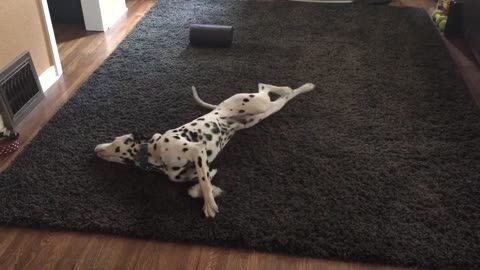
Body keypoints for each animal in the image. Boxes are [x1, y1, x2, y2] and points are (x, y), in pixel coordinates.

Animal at [95, 82, 316, 217]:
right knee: (284, 97)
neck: (155, 151)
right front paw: (202, 190)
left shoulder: (196, 150)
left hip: (259, 103)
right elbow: (200, 182)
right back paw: (305, 88)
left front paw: (209, 202)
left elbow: (204, 182)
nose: (96, 149)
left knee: (265, 87)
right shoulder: (189, 169)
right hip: (263, 112)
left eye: (115, 142)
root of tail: (219, 105)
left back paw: (292, 87)